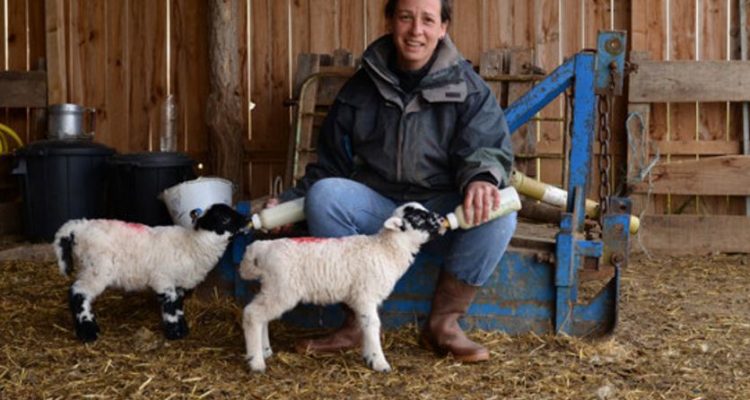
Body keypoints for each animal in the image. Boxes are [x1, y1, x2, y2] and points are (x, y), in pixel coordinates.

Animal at [54, 205, 253, 342]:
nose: (247, 219)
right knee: (78, 293)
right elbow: (170, 306)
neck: (193, 245)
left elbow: (178, 306)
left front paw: (182, 329)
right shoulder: (163, 279)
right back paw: (88, 332)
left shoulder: (178, 284)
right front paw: (175, 333)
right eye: (225, 218)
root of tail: (78, 228)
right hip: (96, 269)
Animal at [239, 202, 446, 374]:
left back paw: (265, 350)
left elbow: (364, 325)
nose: (442, 219)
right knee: (252, 314)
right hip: (283, 289)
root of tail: (261, 248)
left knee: (262, 317)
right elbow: (372, 325)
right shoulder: (366, 295)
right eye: (420, 218)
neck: (386, 249)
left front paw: (369, 356)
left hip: (273, 287)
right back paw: (256, 362)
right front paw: (380, 362)